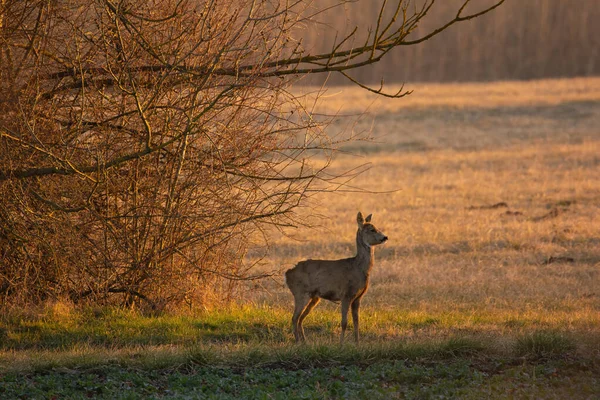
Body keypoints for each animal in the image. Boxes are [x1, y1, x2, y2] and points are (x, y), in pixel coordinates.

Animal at [284, 212, 390, 344]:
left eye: (376, 227)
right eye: (372, 229)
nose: (385, 237)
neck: (358, 268)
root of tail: (287, 274)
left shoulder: (358, 298)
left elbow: (356, 322)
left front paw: (357, 344)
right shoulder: (346, 294)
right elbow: (344, 323)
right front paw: (341, 344)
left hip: (314, 297)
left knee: (300, 318)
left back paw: (305, 342)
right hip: (300, 292)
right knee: (294, 318)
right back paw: (298, 342)